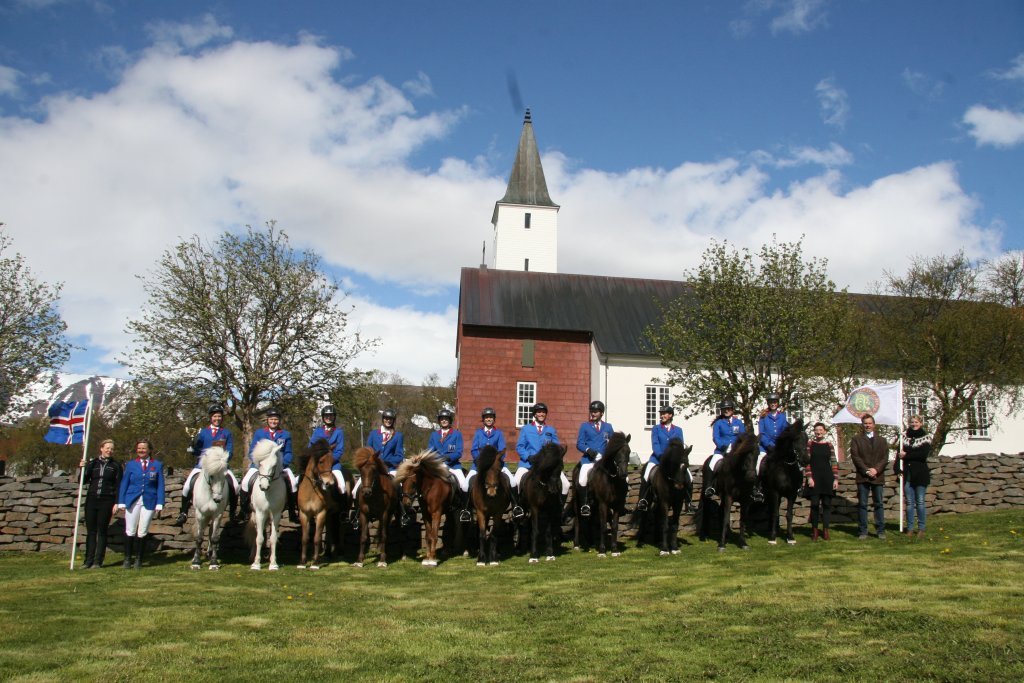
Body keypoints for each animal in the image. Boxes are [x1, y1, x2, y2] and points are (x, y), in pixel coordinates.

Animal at [249, 439, 286, 571]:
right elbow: (259, 538)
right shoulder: (260, 513)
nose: (263, 487)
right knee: (256, 533)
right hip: (256, 516)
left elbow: (273, 538)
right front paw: (256, 564)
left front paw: (273, 563)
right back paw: (252, 556)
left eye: (274, 466)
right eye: (260, 464)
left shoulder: (276, 514)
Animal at [296, 438, 345, 569]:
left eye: (332, 461)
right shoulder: (304, 514)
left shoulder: (320, 513)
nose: (330, 483)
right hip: (329, 514)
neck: (311, 491)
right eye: (321, 461)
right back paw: (328, 553)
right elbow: (304, 538)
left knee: (338, 530)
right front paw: (302, 562)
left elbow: (317, 538)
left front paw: (315, 562)